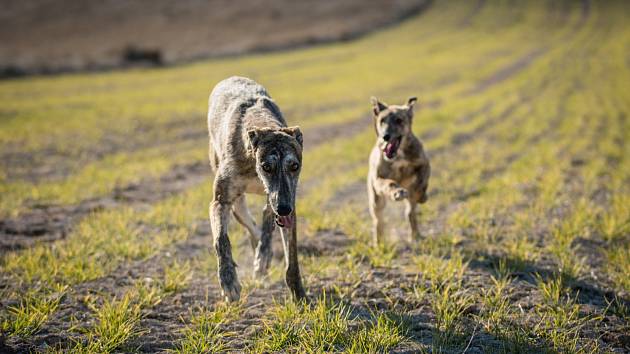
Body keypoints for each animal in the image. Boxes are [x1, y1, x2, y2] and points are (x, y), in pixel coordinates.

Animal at [207, 75, 306, 302]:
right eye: (266, 166)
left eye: (294, 166)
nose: (284, 209)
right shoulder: (220, 201)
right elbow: (221, 239)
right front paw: (228, 281)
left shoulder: (284, 199)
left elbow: (291, 258)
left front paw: (299, 294)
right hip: (237, 206)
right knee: (251, 226)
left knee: (260, 226)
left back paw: (263, 258)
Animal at [368, 97, 432, 246]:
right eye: (382, 120)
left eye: (399, 120)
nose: (385, 136)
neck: (399, 154)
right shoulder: (378, 179)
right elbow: (389, 183)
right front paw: (397, 192)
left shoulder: (424, 164)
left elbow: (422, 181)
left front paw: (422, 195)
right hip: (376, 201)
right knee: (378, 221)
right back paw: (378, 243)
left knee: (410, 213)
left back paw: (415, 236)